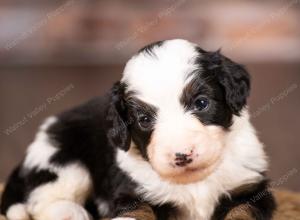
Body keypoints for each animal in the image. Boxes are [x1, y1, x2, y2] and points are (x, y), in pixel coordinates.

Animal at [0, 39, 276, 220]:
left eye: (201, 103)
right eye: (144, 119)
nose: (182, 155)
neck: (194, 181)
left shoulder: (249, 188)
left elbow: (241, 211)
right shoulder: (133, 190)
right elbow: (139, 210)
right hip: (64, 158)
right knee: (42, 199)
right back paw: (71, 213)